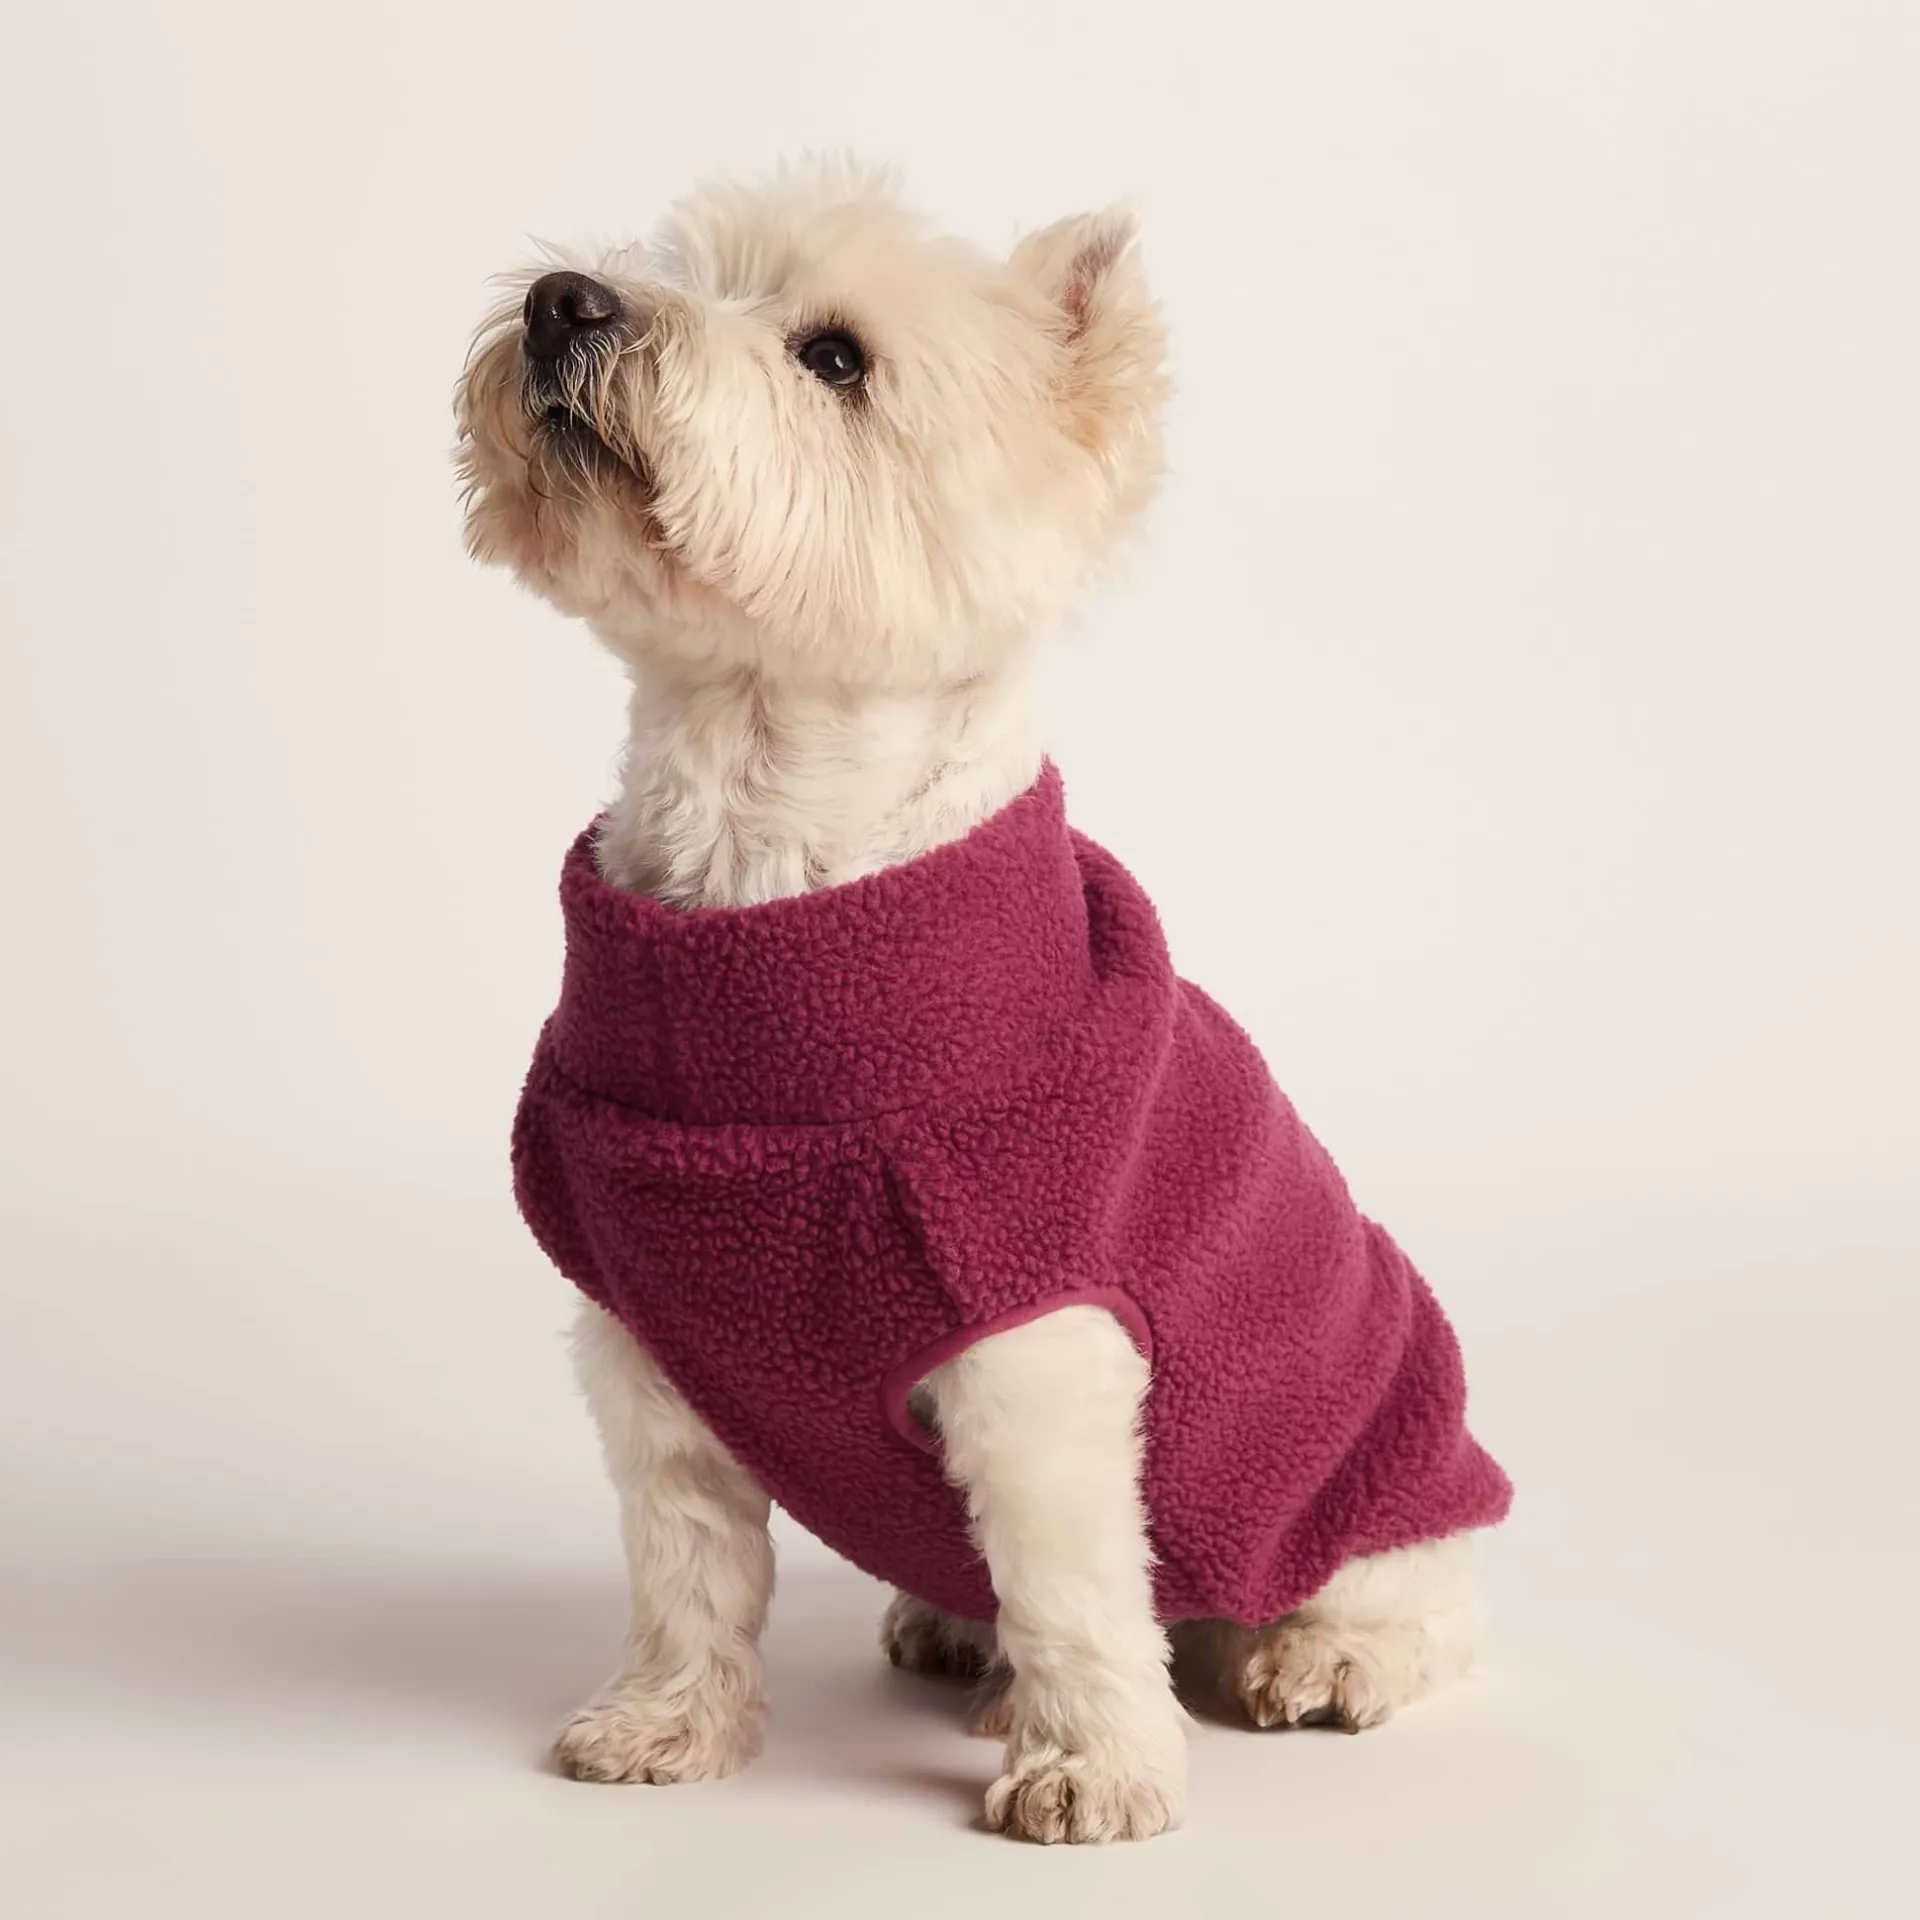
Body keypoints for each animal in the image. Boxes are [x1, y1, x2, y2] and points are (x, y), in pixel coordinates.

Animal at [456, 159, 1509, 1844]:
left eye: (834, 356)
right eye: (659, 263)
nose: (567, 301)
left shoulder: (1035, 1340)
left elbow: (1076, 1583)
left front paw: (1094, 1770)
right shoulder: (645, 1338)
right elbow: (688, 1564)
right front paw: (669, 1725)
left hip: (1369, 1451)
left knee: (1413, 1597)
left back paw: (1316, 1658)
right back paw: (956, 1631)